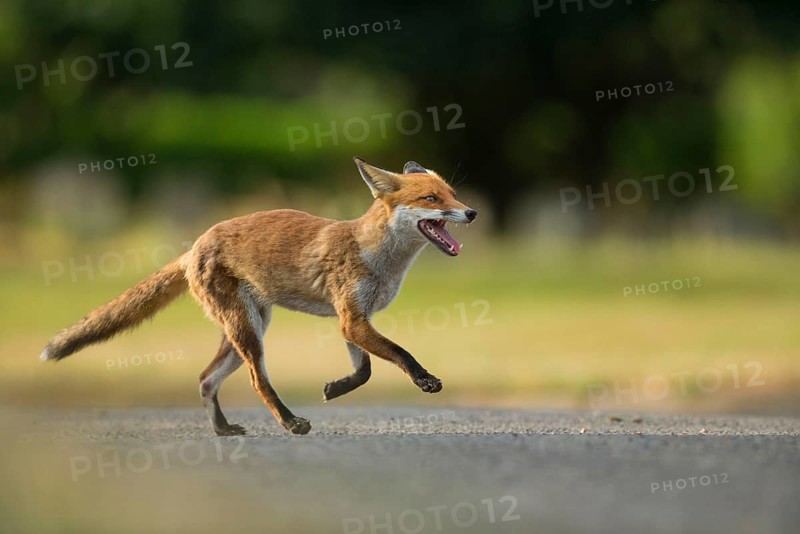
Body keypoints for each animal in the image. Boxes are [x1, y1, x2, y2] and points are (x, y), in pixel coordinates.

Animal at [40, 157, 477, 436]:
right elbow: (400, 353)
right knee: (256, 380)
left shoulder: (352, 319)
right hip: (248, 332)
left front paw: (336, 388)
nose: (472, 212)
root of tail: (194, 245)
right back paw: (290, 423)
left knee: (205, 379)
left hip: (245, 330)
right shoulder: (353, 318)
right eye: (431, 200)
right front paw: (424, 379)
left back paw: (223, 430)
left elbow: (365, 371)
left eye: (453, 194)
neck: (376, 255)